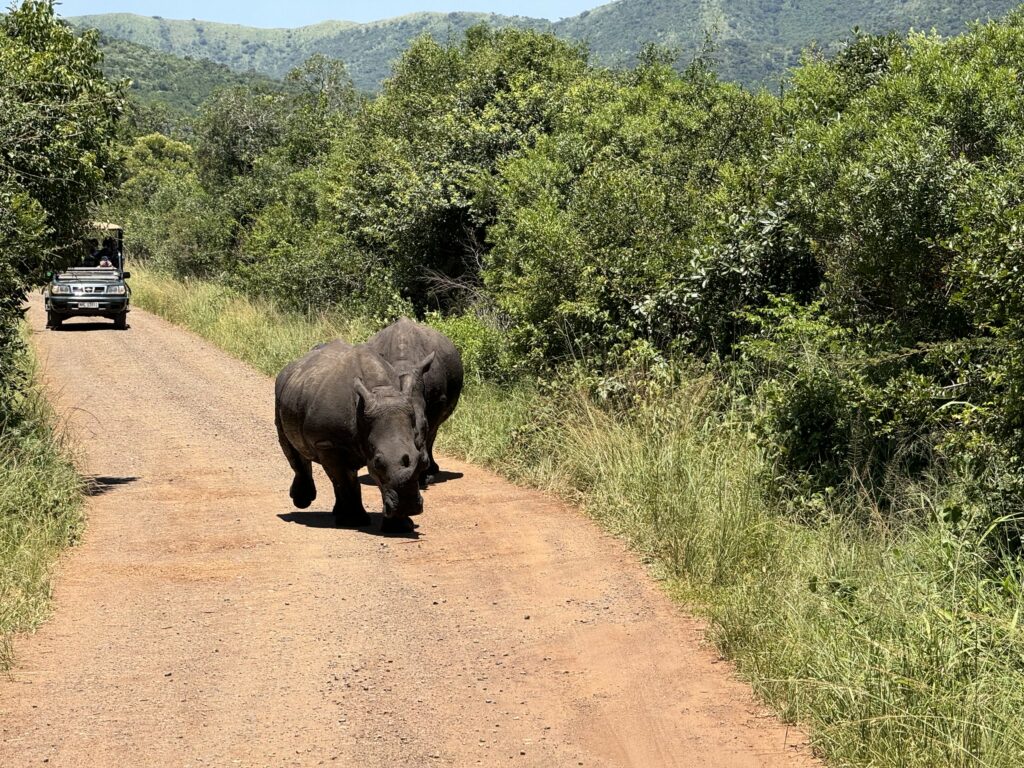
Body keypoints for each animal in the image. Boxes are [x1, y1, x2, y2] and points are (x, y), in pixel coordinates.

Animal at [272, 346, 432, 532]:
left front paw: (401, 526)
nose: (410, 507)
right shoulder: (328, 443)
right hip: (281, 391)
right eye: (378, 463)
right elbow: (345, 479)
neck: (380, 390)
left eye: (424, 463)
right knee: (291, 448)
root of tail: (294, 365)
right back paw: (303, 502)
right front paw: (354, 521)